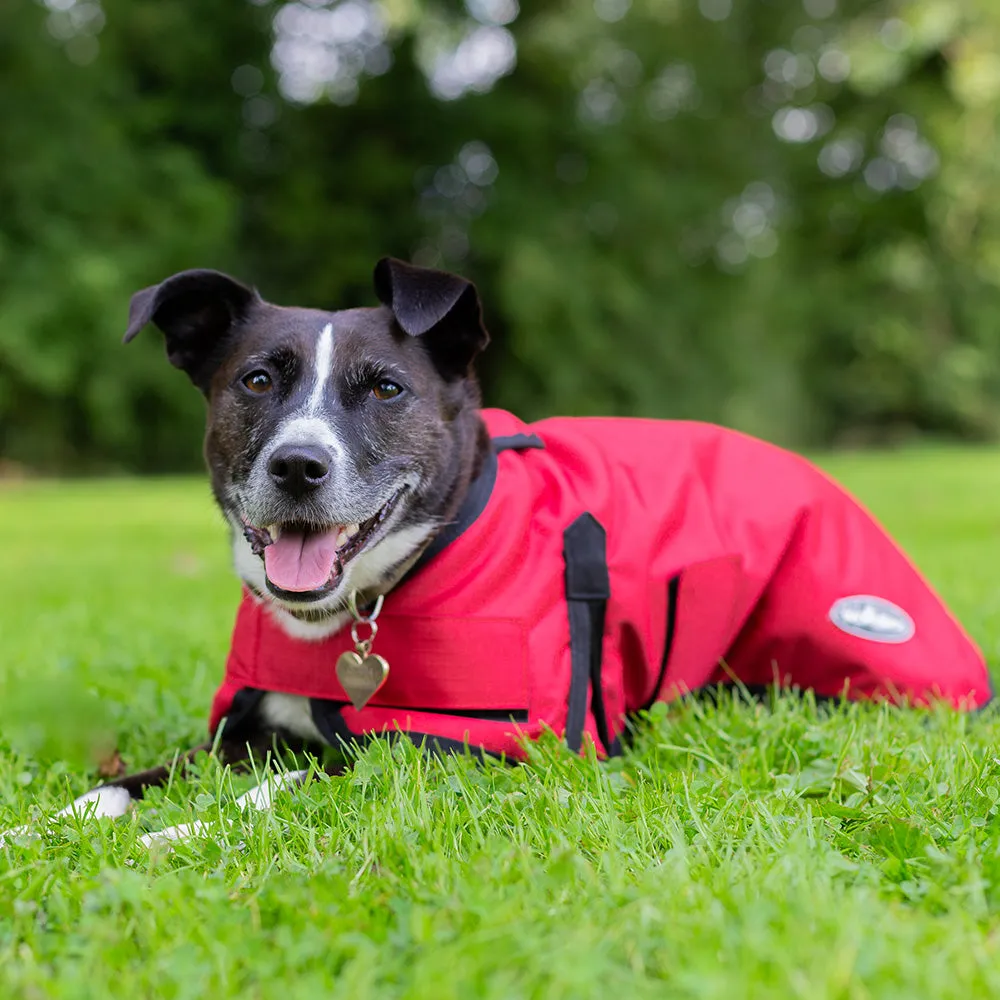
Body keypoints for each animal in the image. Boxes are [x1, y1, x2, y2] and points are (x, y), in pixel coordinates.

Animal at [3, 256, 992, 844]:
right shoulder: (246, 735)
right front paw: (51, 829)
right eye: (255, 380)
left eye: (385, 389)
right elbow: (127, 784)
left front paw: (176, 837)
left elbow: (295, 788)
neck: (370, 602)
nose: (298, 465)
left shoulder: (470, 750)